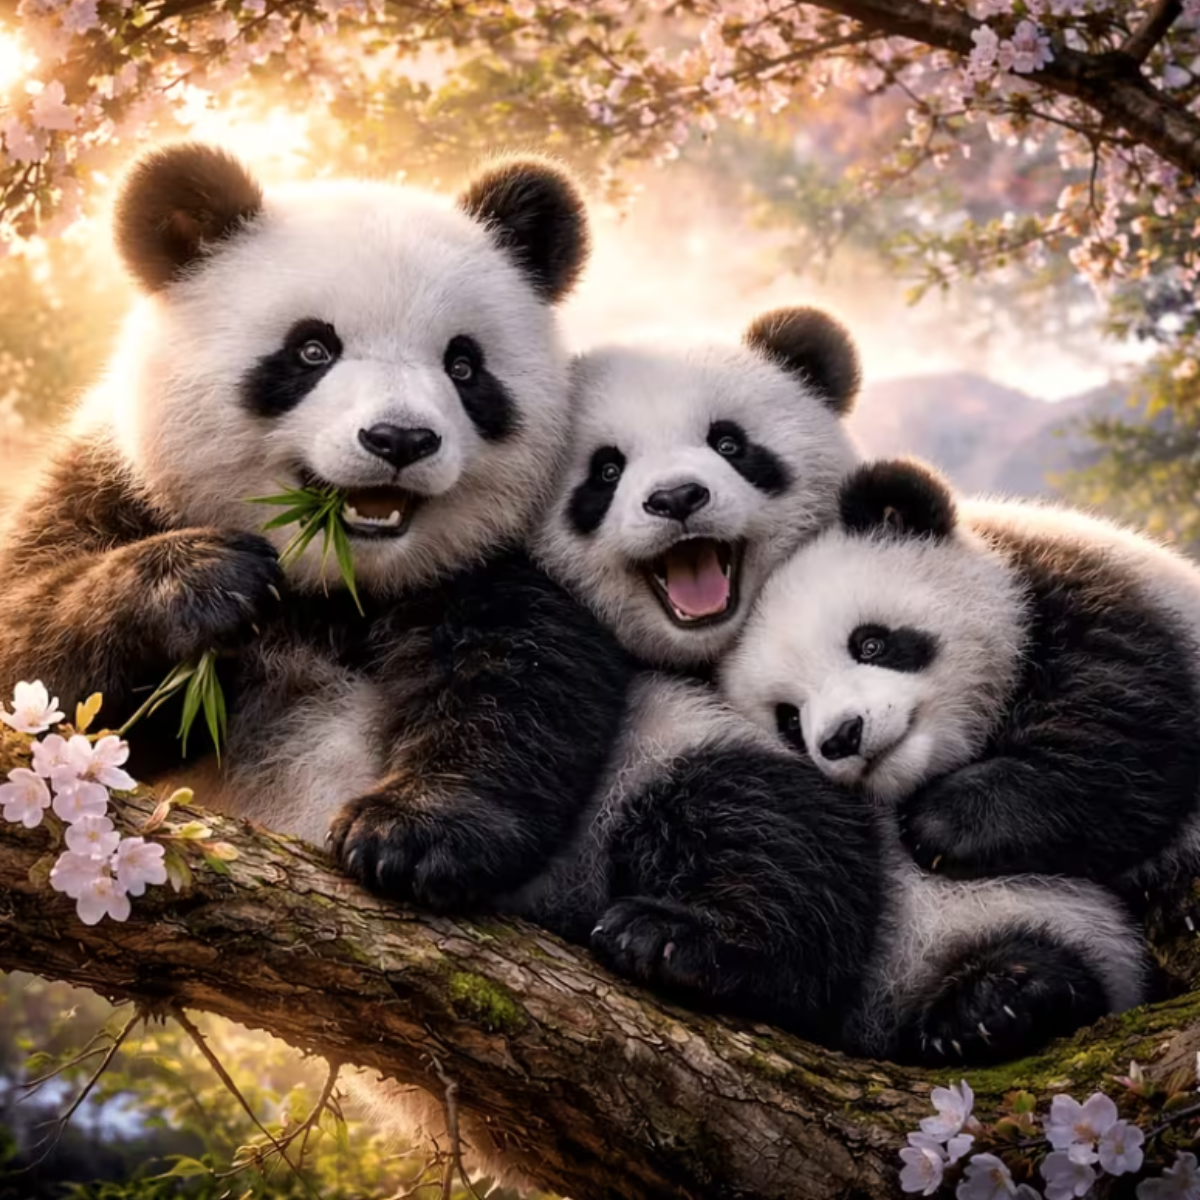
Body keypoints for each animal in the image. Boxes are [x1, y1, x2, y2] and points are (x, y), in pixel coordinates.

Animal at [0, 140, 635, 914]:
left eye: (463, 365)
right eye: (311, 351)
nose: (400, 439)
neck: (338, 586)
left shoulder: (512, 555)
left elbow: (526, 679)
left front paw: (408, 836)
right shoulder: (112, 486)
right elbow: (32, 660)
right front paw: (203, 581)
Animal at [721, 457, 1176, 1062]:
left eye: (870, 643)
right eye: (790, 721)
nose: (842, 737)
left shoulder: (1086, 597)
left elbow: (1118, 733)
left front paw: (941, 823)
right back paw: (987, 1006)